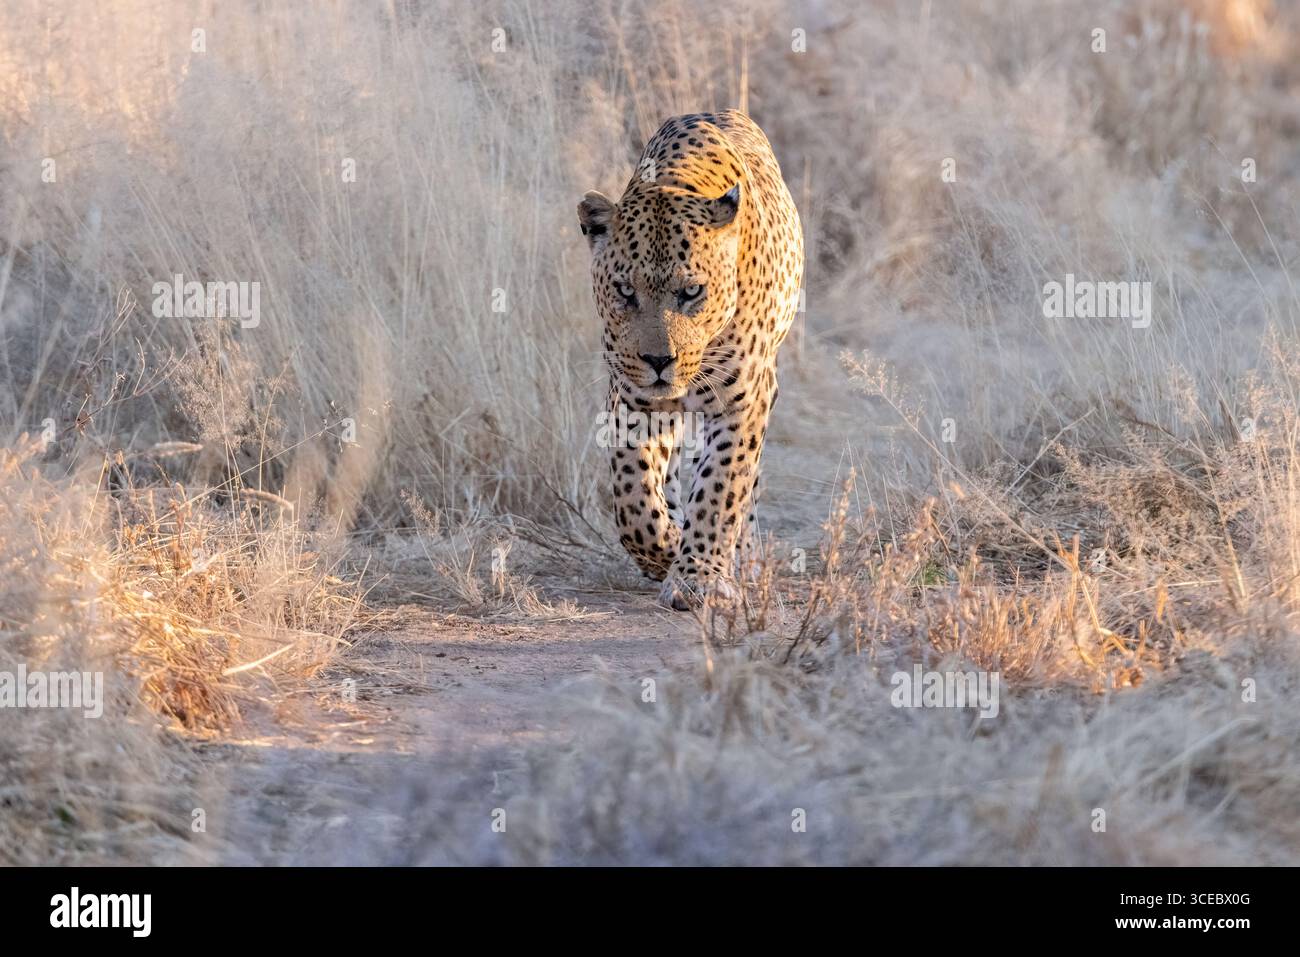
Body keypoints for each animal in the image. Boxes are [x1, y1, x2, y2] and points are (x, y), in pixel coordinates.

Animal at [578, 110, 804, 610]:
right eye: (625, 290)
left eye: (692, 291)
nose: (659, 360)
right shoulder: (632, 397)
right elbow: (634, 494)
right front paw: (665, 548)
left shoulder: (744, 400)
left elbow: (721, 488)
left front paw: (697, 575)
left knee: (744, 489)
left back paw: (744, 560)